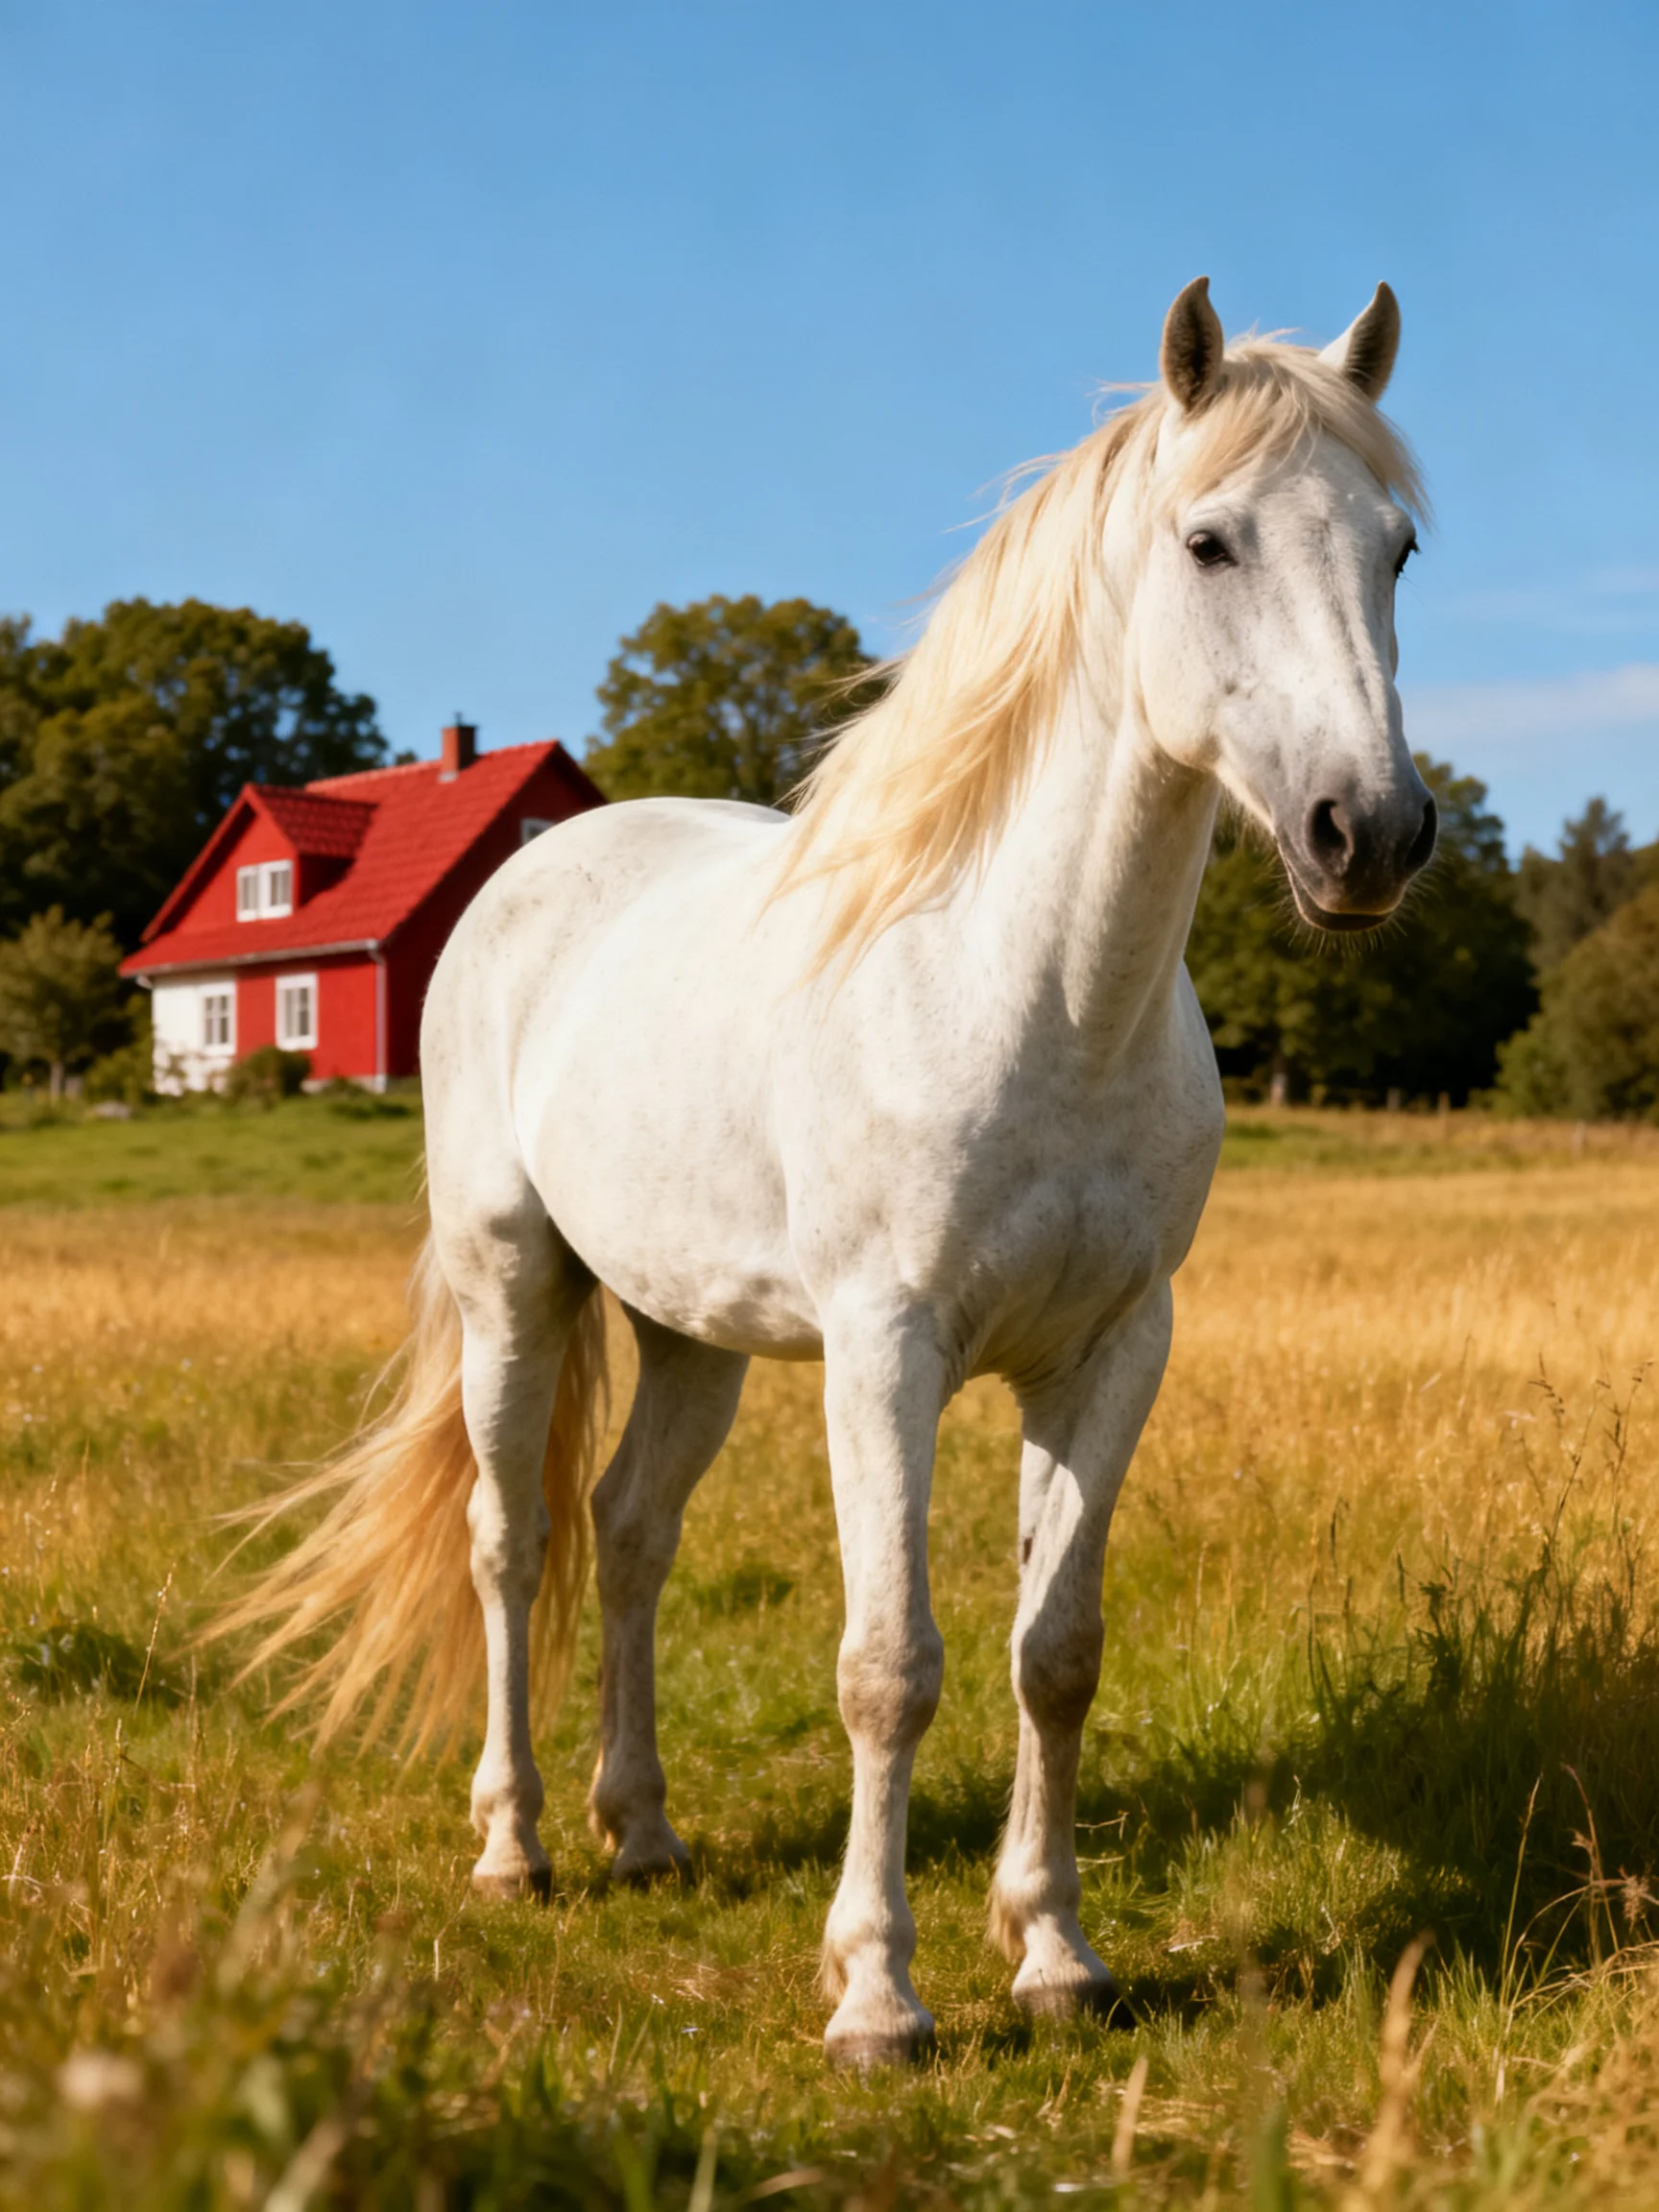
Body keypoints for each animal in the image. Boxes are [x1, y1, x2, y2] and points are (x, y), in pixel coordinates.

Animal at [225, 277, 1435, 2068]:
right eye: (1208, 539)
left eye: (1397, 549)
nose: (1370, 830)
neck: (1035, 995)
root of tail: (536, 871)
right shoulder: (885, 1351)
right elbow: (889, 1664)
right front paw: (877, 1991)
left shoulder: (1111, 1350)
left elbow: (1054, 1651)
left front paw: (1054, 1954)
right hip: (516, 1285)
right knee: (513, 1539)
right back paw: (516, 1844)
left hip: (690, 1335)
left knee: (630, 1531)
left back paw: (643, 1830)